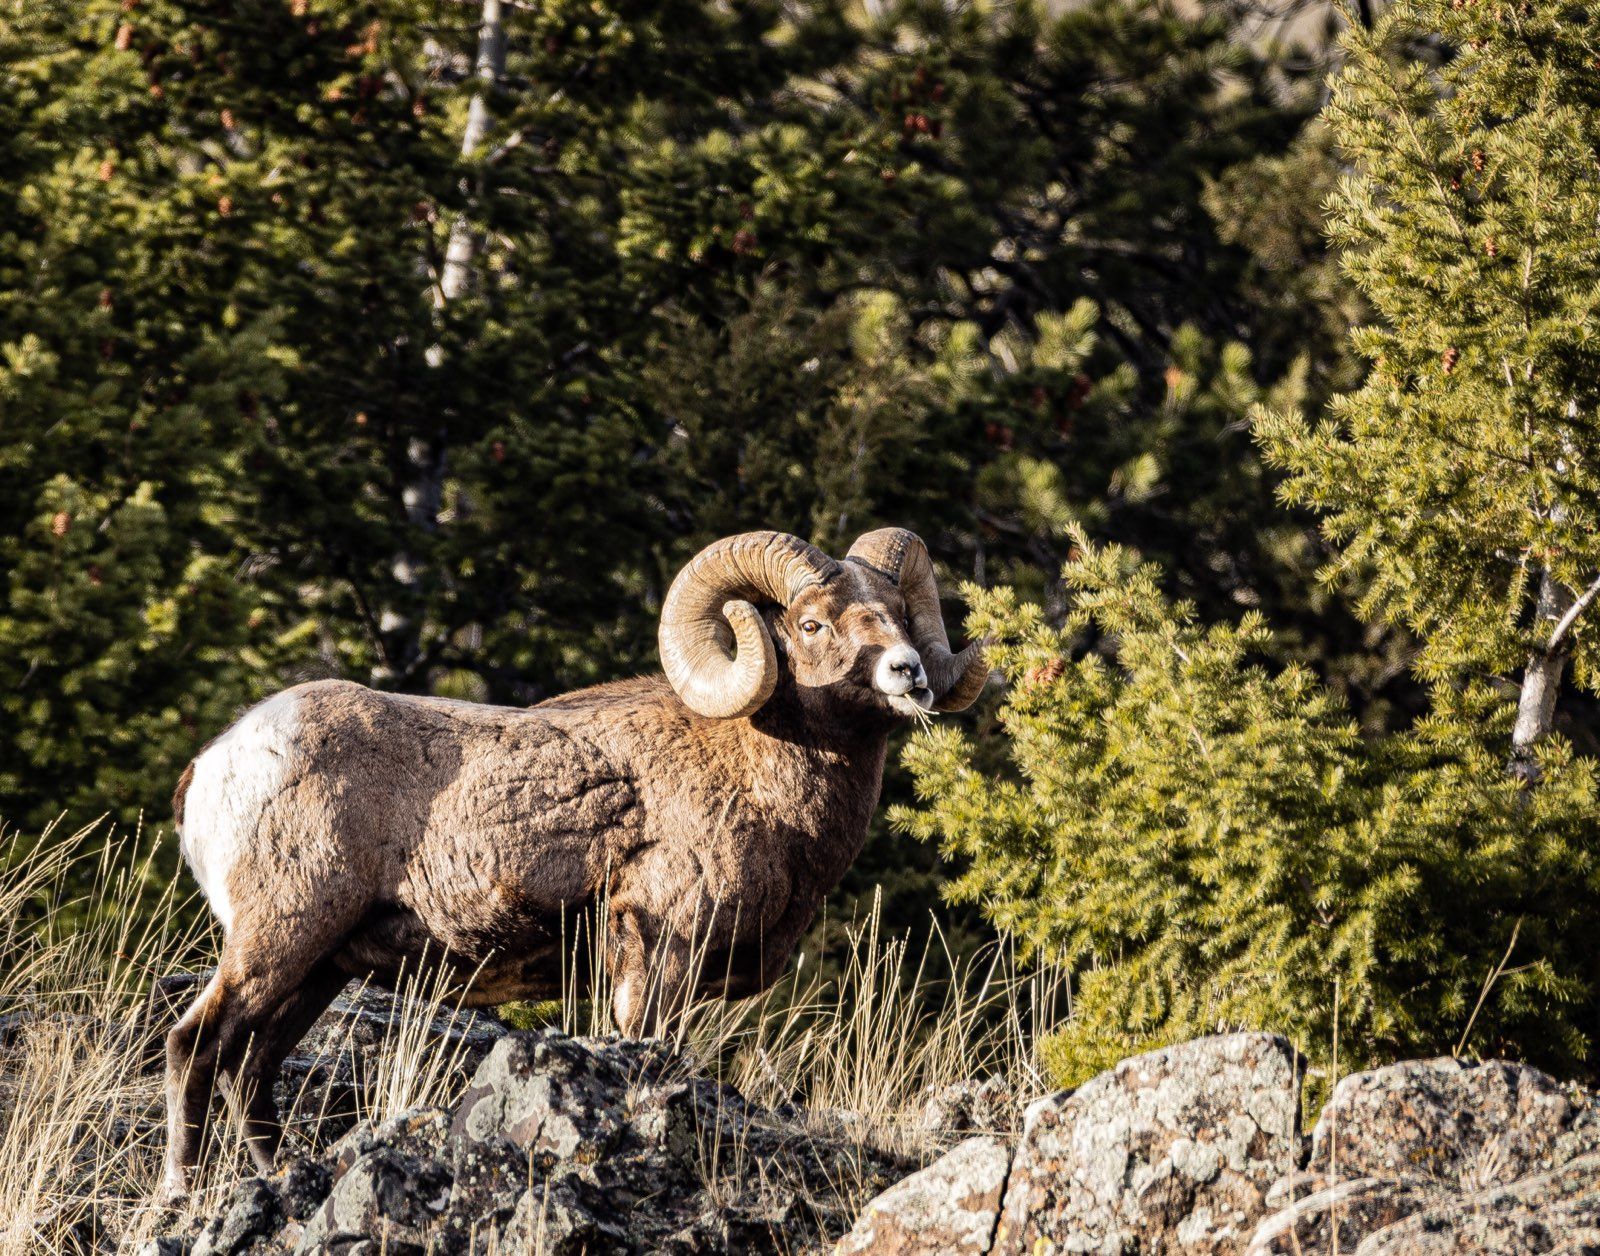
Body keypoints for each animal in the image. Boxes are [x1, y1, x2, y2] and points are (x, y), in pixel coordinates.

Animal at [159, 527, 989, 1198]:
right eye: (814, 623)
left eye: (900, 614)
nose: (909, 673)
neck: (761, 776)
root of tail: (215, 764)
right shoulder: (657, 956)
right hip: (279, 938)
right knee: (197, 1044)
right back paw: (183, 1190)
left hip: (317, 970)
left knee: (250, 1067)